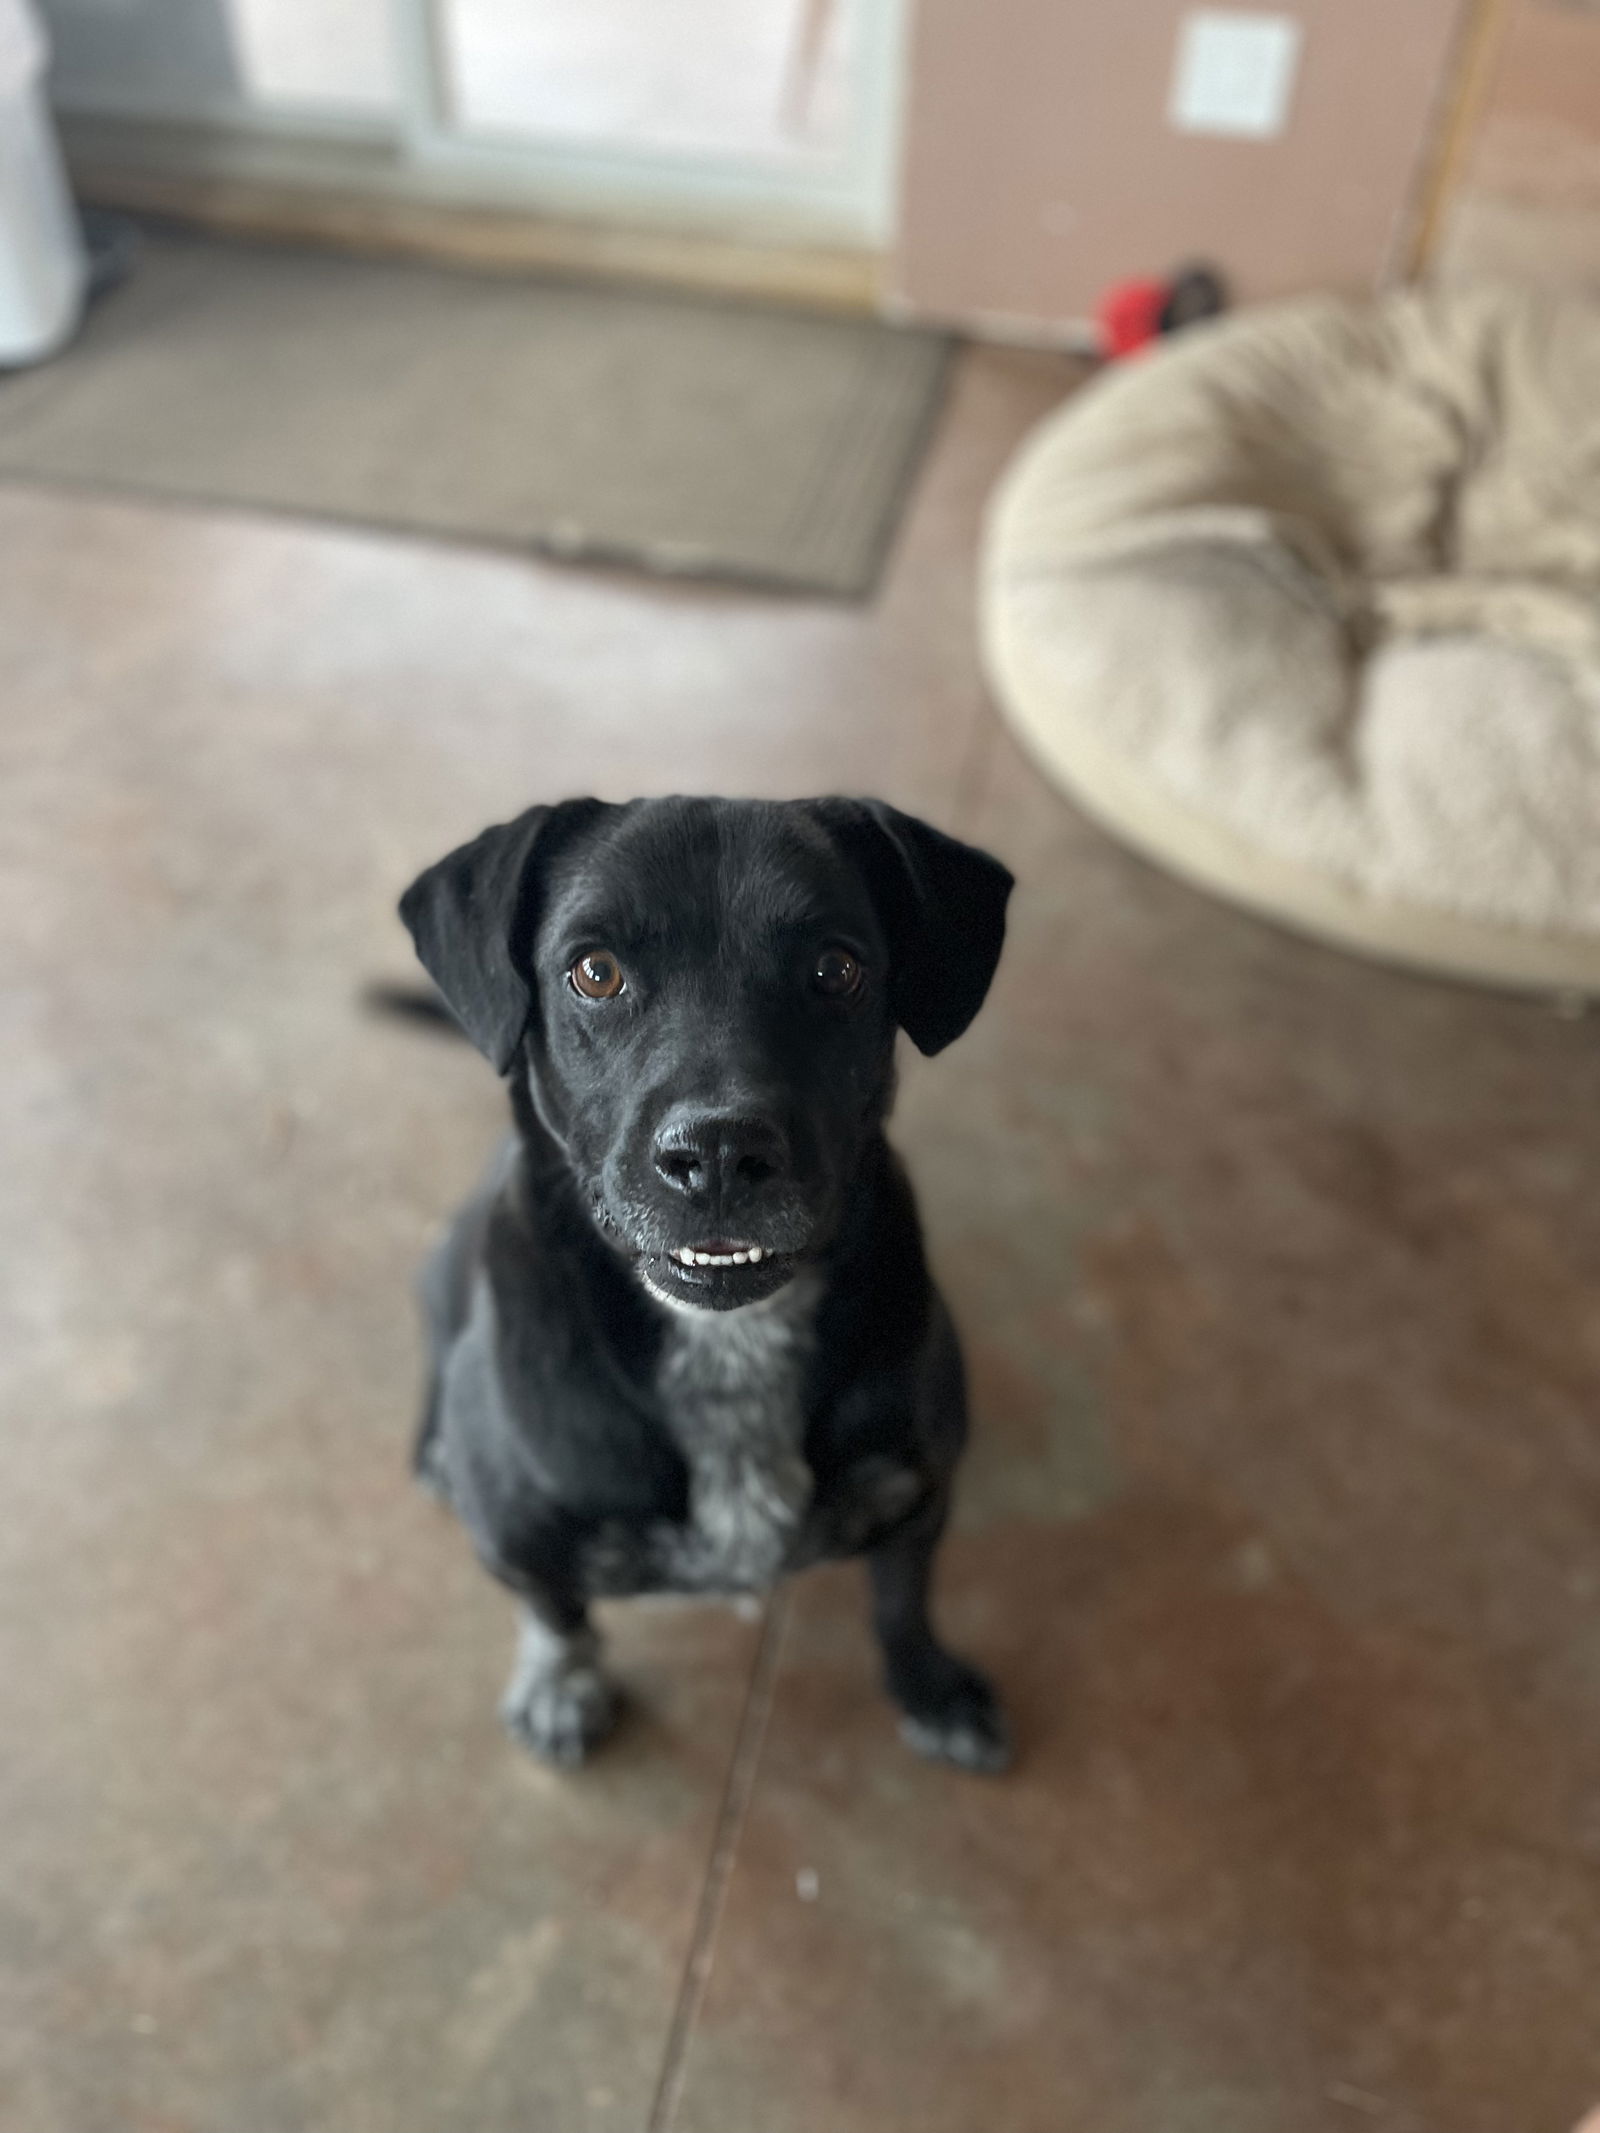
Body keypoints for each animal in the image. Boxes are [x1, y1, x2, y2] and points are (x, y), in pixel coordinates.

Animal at [398, 793, 1015, 1774]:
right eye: (596, 971)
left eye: (836, 967)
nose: (721, 1152)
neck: (730, 1345)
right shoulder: (516, 1540)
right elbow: (555, 1609)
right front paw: (562, 1684)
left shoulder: (918, 1492)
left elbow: (902, 1598)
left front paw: (929, 1685)